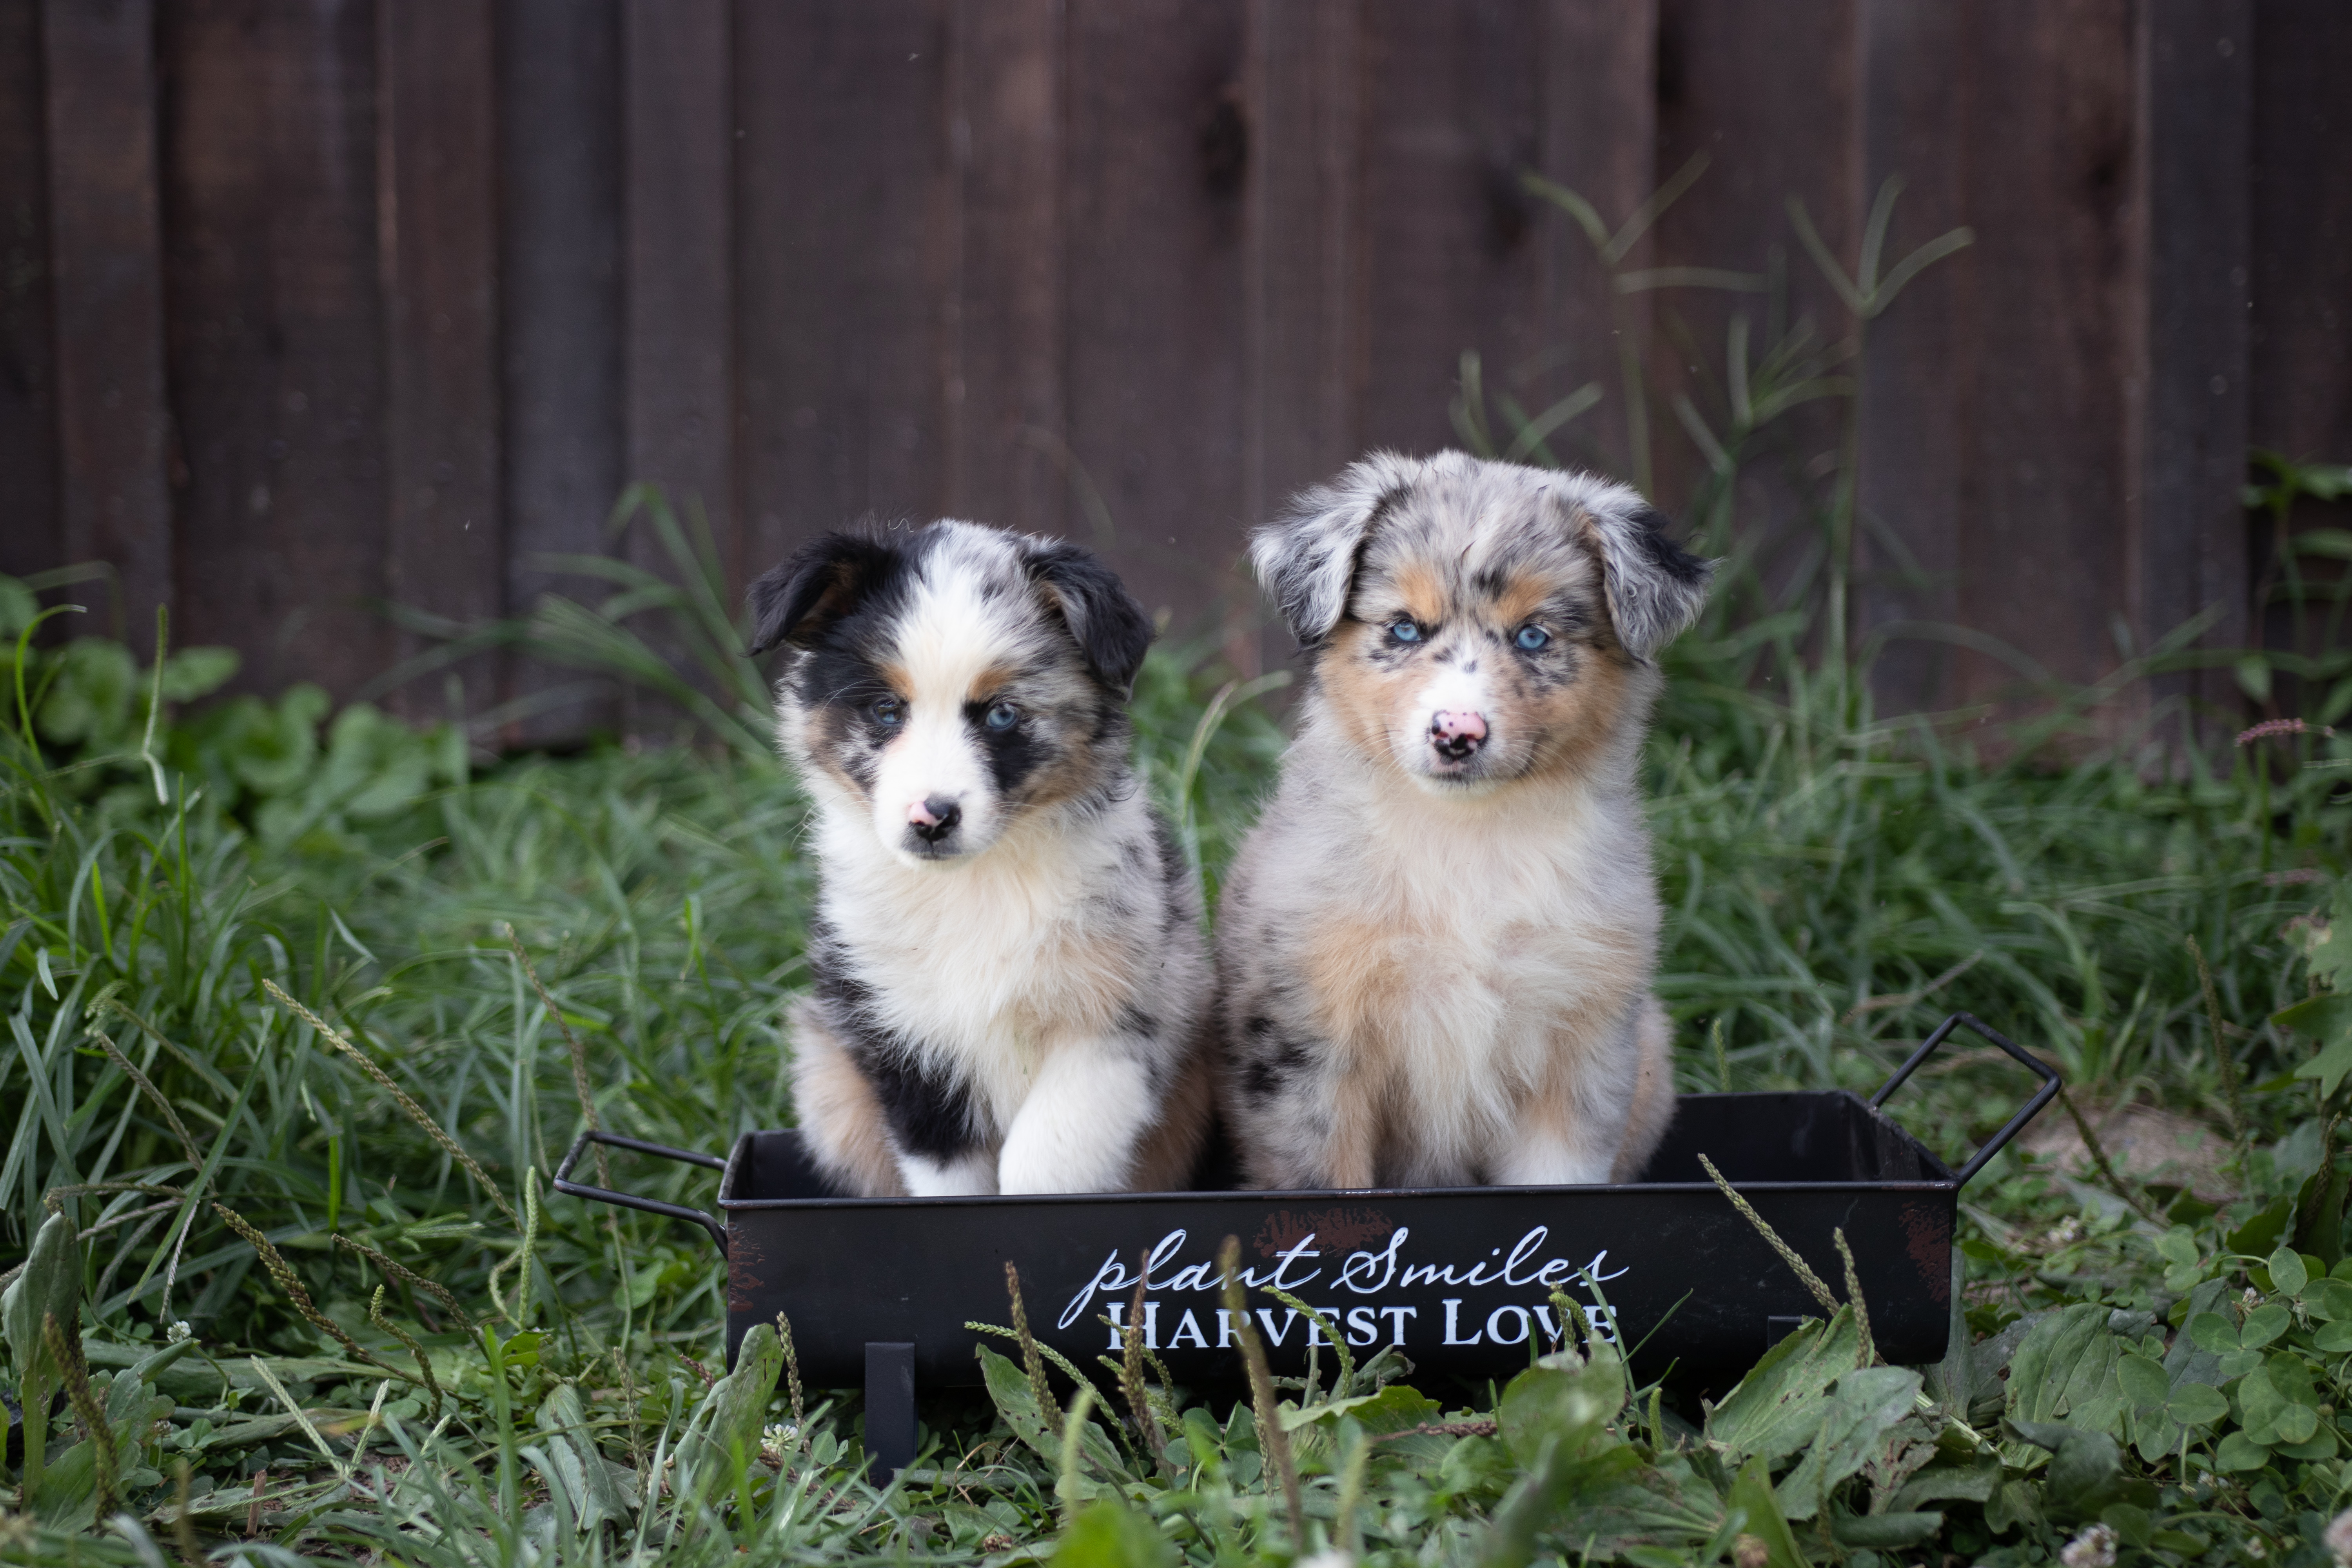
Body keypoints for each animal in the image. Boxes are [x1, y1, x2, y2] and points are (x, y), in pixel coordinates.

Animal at [753, 522, 1223, 1194]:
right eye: (886, 710)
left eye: (1001, 713)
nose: (931, 818)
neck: (976, 882)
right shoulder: (903, 1039)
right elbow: (950, 1178)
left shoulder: (1113, 1024)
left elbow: (1044, 1163)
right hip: (830, 1083)